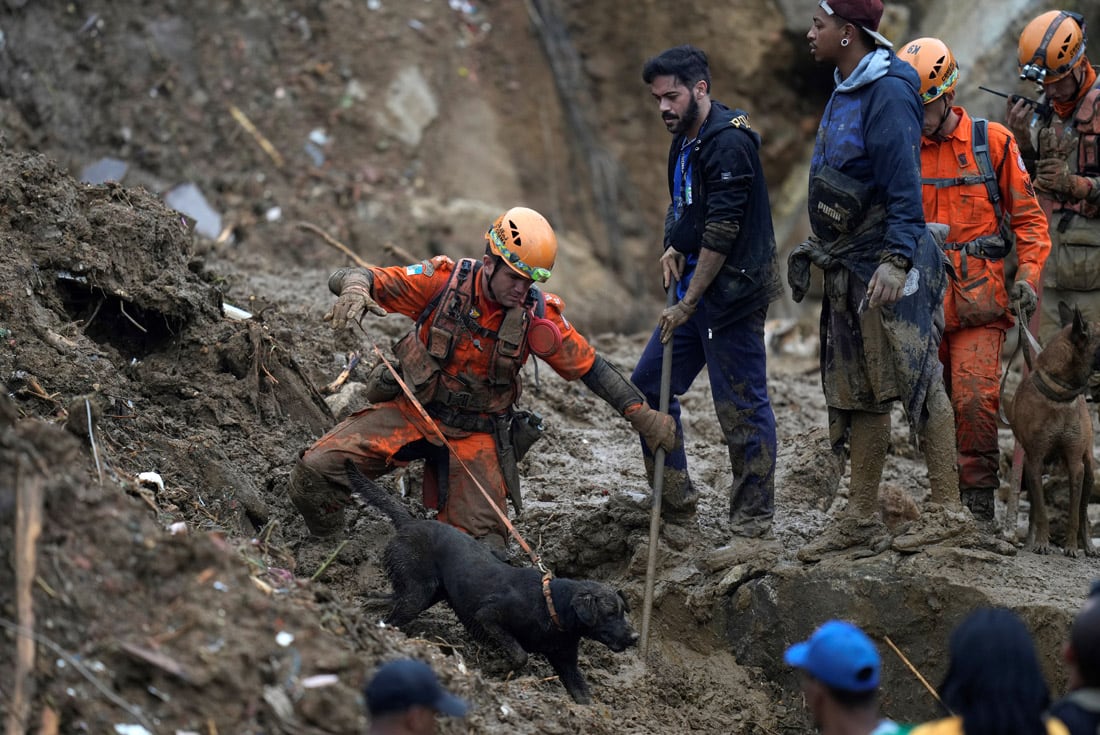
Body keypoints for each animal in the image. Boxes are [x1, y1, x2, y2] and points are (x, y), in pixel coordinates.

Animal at [343, 459, 638, 704]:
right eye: (609, 613)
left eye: (623, 611)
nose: (635, 637)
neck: (551, 606)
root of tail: (409, 522)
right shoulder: (488, 616)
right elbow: (519, 654)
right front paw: (501, 669)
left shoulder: (566, 661)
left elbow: (583, 696)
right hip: (418, 592)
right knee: (392, 617)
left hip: (424, 592)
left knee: (387, 600)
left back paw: (367, 606)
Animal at [1007, 303, 1100, 556]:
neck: (1060, 395)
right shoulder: (1035, 461)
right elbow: (1040, 511)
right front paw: (1041, 542)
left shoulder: (1076, 465)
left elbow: (1074, 514)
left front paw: (1071, 547)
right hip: (1028, 471)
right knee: (1033, 508)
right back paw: (1031, 540)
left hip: (1089, 470)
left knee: (1084, 511)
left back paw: (1088, 546)